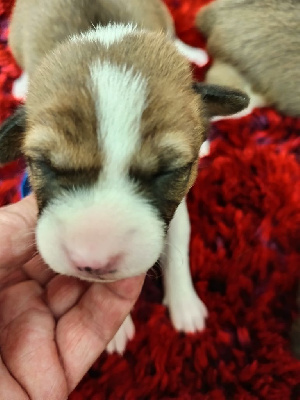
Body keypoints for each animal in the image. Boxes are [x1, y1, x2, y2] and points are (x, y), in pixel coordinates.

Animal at [0, 0, 248, 352]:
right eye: (46, 165)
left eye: (168, 171)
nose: (93, 260)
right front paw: (115, 331)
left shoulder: (178, 209)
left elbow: (178, 248)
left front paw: (185, 306)